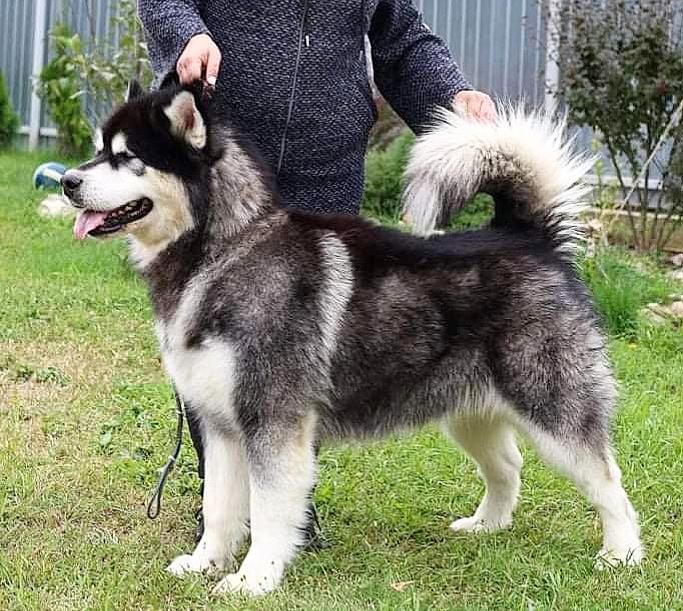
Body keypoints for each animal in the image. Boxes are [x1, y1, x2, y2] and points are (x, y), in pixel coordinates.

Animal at [61, 83, 643, 595]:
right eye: (98, 151)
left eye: (127, 158)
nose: (67, 181)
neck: (224, 249)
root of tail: (526, 235)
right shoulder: (222, 425)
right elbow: (219, 506)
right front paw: (206, 563)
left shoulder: (274, 422)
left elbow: (268, 511)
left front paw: (253, 579)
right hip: (468, 411)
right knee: (509, 466)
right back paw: (488, 526)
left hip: (552, 409)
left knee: (608, 479)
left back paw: (621, 554)